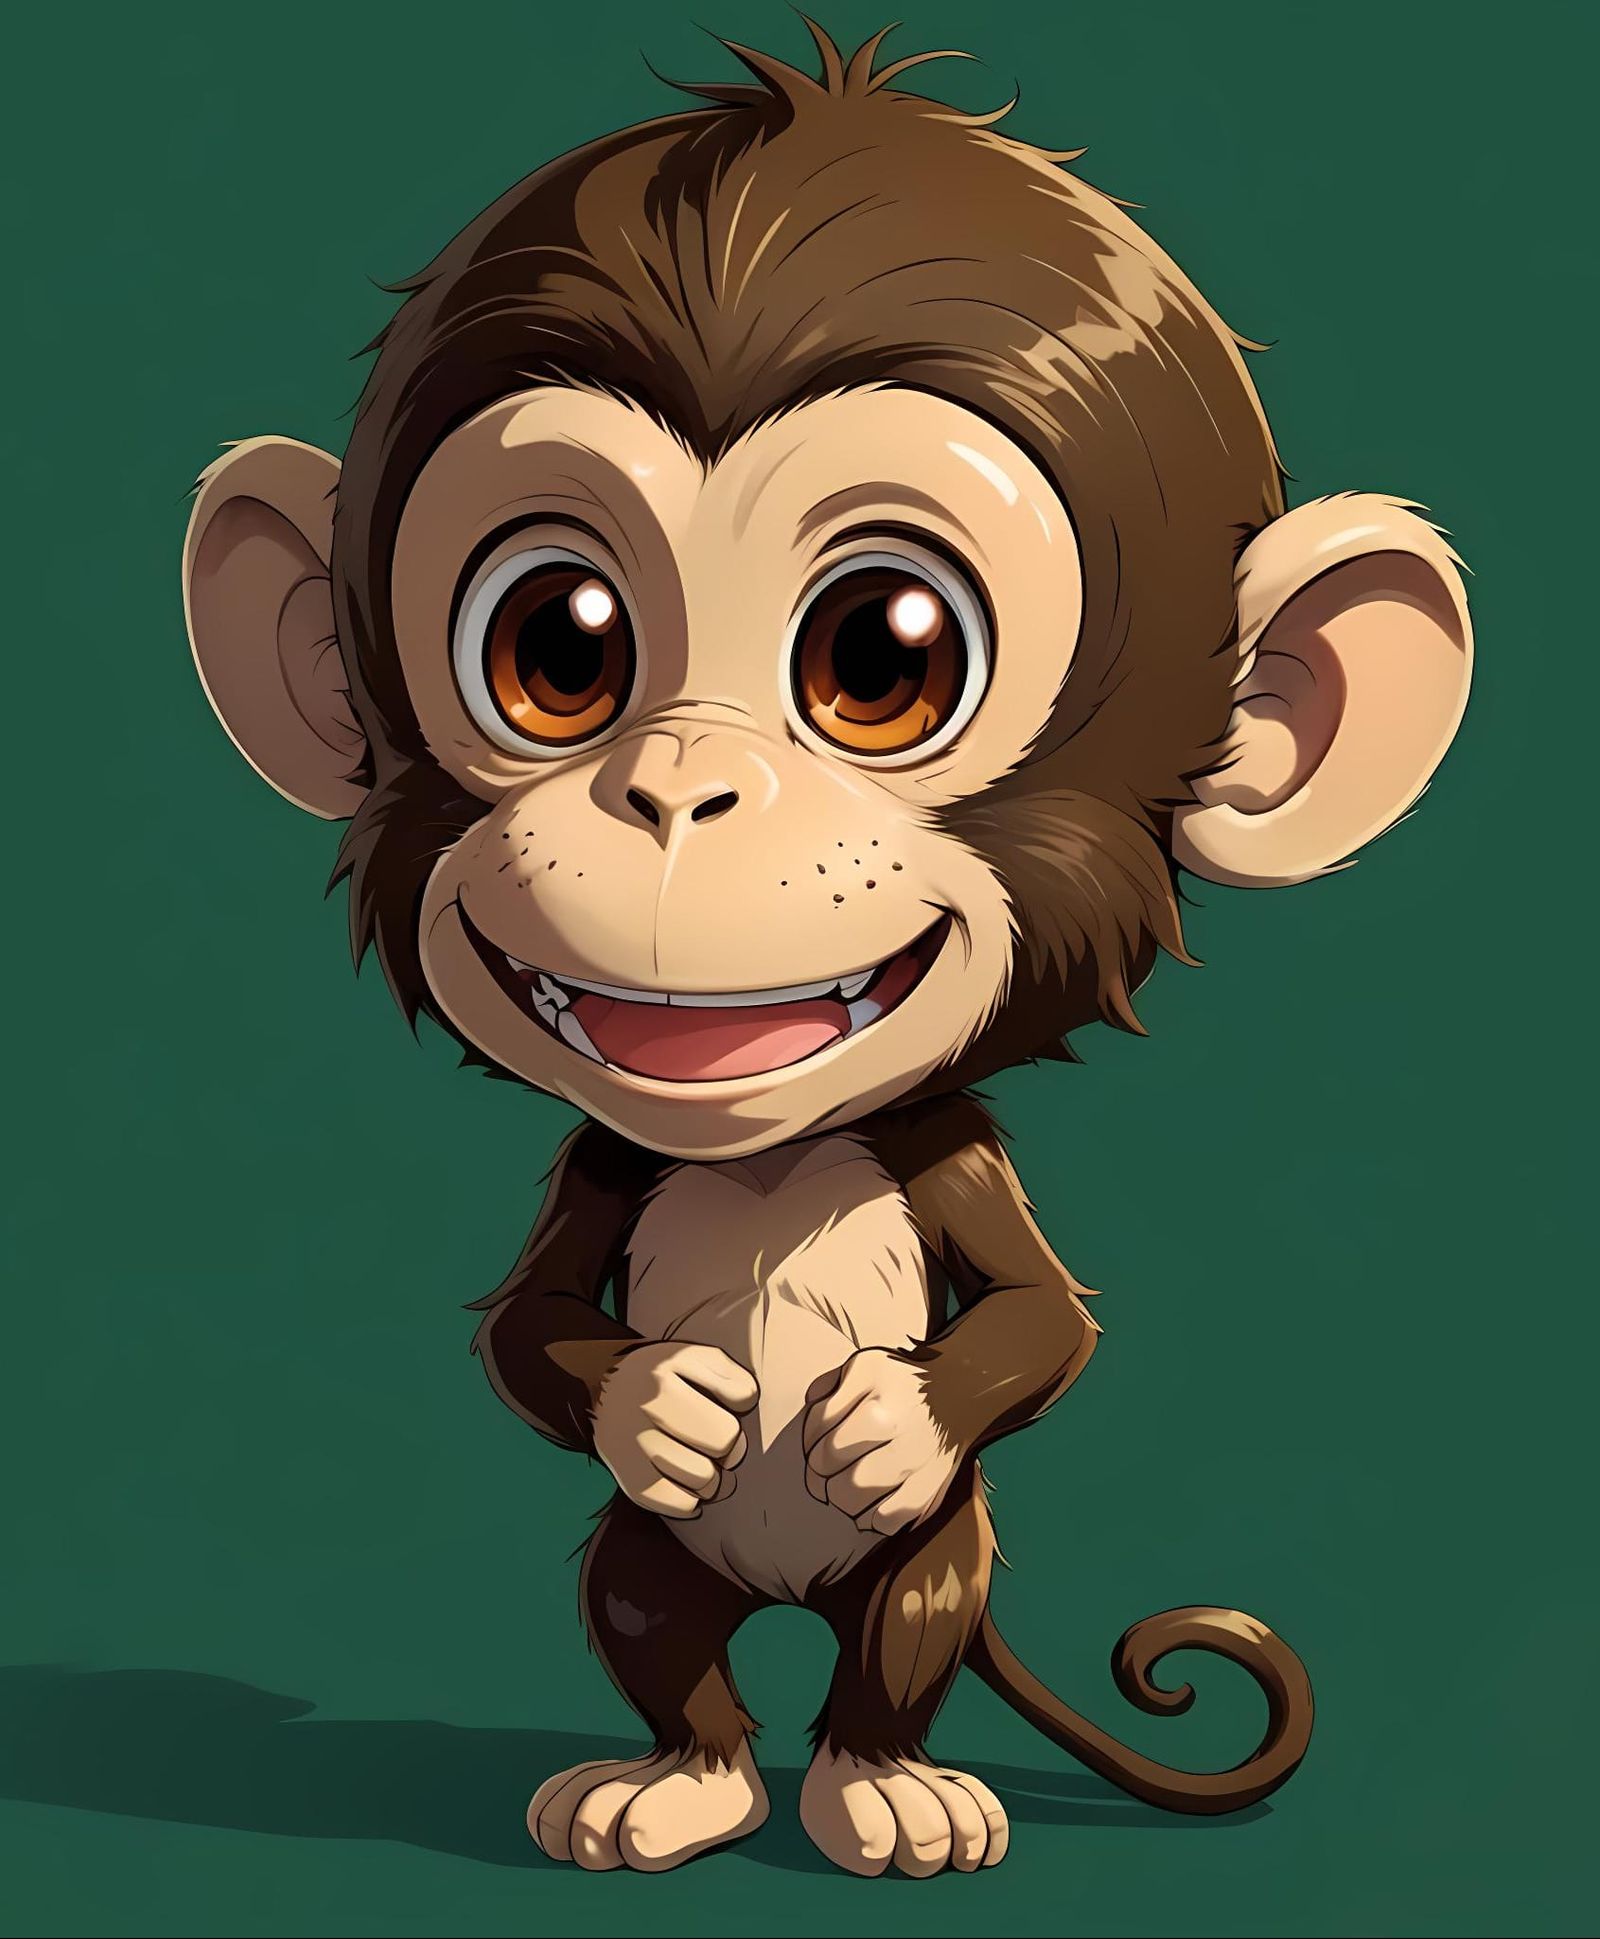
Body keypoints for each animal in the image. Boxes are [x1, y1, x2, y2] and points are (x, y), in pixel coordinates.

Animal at [181, 25, 1472, 1878]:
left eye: (884, 654)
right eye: (559, 646)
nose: (677, 787)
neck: (780, 1158)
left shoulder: (946, 1141)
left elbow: (1042, 1323)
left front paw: (887, 1412)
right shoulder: (605, 1157)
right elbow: (527, 1332)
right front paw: (661, 1404)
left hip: (933, 1560)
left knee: (905, 1621)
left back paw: (884, 1779)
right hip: (654, 1564)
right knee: (651, 1615)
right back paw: (685, 1775)